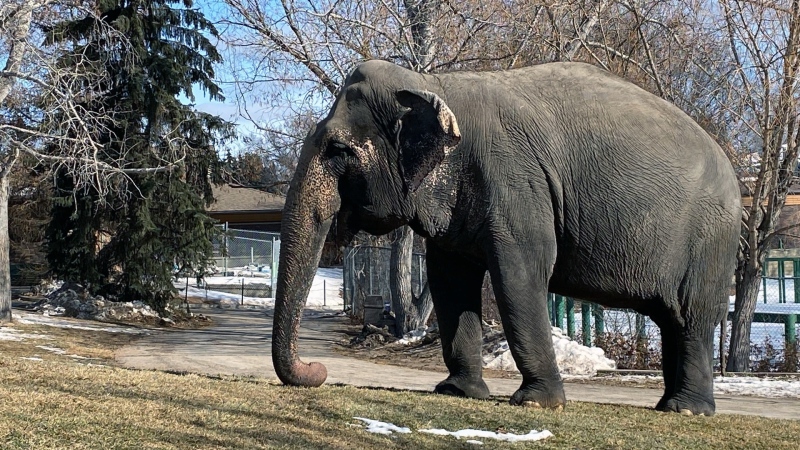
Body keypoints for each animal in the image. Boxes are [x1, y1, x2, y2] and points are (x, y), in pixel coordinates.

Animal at [272, 58, 740, 416]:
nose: (319, 370)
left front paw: (536, 404)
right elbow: (449, 282)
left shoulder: (517, 184)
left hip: (711, 240)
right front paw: (457, 392)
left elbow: (519, 277)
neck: (430, 83)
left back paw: (687, 410)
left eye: (337, 149)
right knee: (670, 320)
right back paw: (667, 405)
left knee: (693, 317)